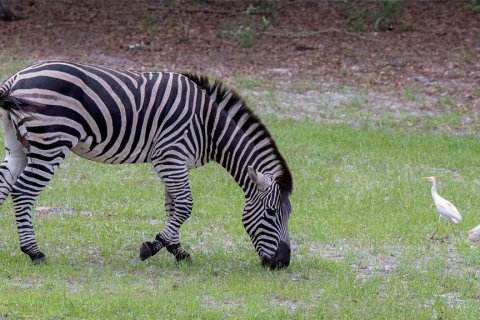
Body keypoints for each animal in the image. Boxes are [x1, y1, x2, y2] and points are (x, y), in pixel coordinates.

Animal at [0, 59, 292, 268]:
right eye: (271, 213)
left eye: (288, 214)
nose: (282, 264)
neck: (209, 125)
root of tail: (15, 78)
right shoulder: (171, 156)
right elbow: (185, 205)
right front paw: (152, 247)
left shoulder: (172, 161)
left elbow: (173, 206)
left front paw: (177, 251)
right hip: (51, 143)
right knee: (23, 192)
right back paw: (35, 253)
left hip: (18, 146)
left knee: (4, 185)